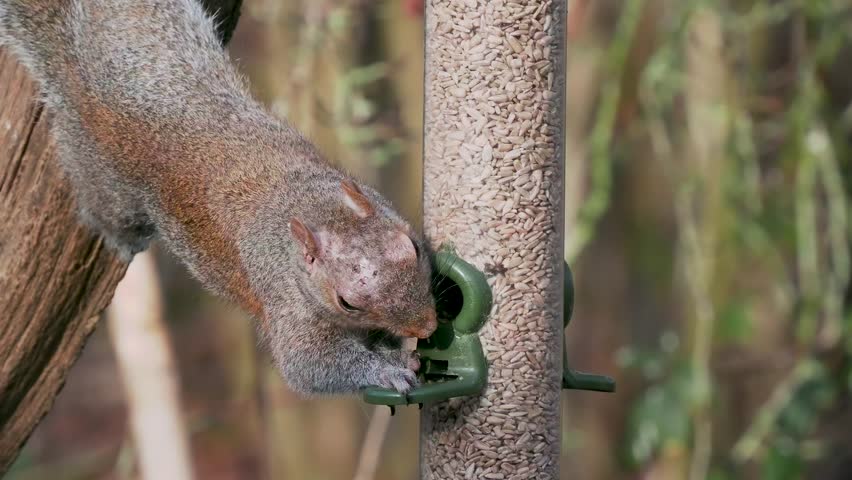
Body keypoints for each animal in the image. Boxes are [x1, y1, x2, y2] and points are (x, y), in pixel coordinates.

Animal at [0, 0, 437, 394]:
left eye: (413, 247)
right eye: (347, 302)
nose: (427, 324)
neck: (308, 204)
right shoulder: (288, 303)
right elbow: (310, 365)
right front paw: (388, 369)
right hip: (101, 176)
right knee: (105, 210)